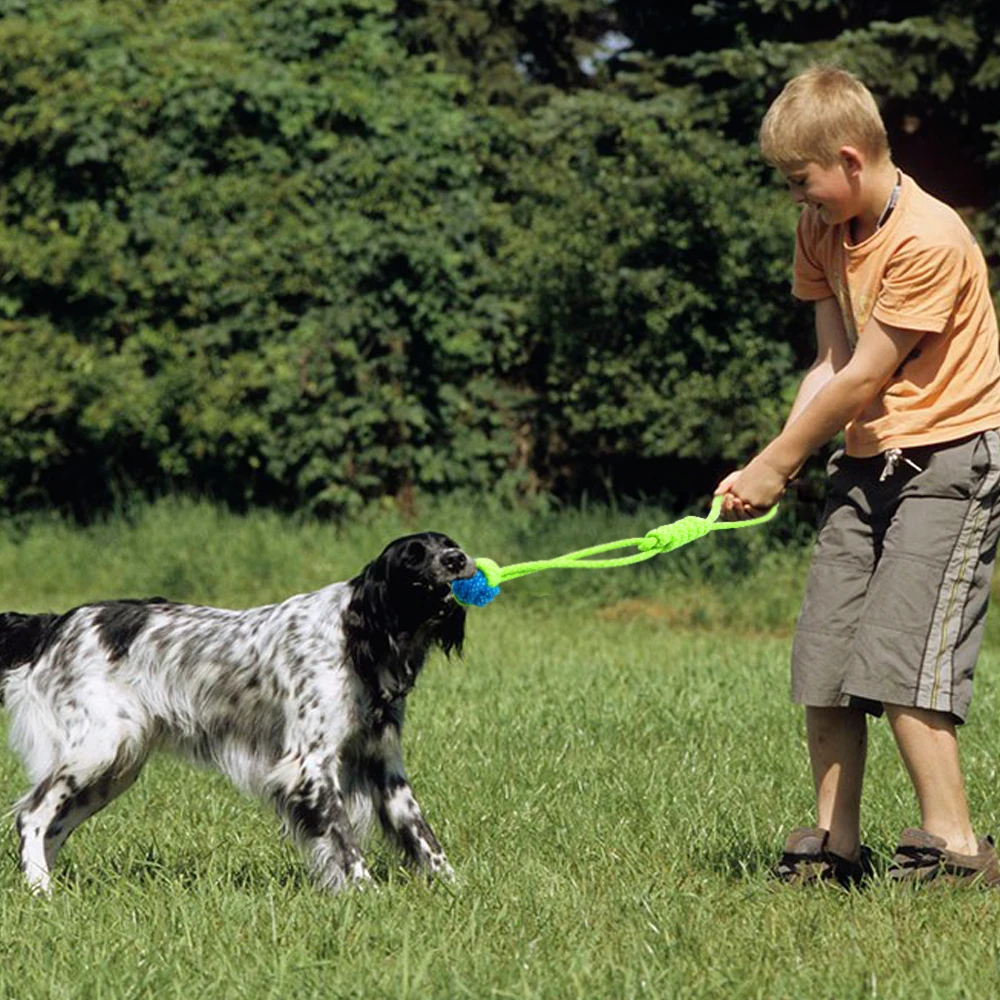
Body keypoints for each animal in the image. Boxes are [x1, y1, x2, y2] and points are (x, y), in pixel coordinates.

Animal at [0, 536, 474, 896]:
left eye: (447, 543)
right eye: (414, 555)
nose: (458, 558)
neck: (357, 638)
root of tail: (57, 623)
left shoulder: (384, 764)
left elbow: (423, 836)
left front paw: (457, 888)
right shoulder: (308, 765)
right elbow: (344, 840)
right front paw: (365, 891)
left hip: (114, 770)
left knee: (54, 827)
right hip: (97, 751)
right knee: (33, 816)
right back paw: (41, 891)